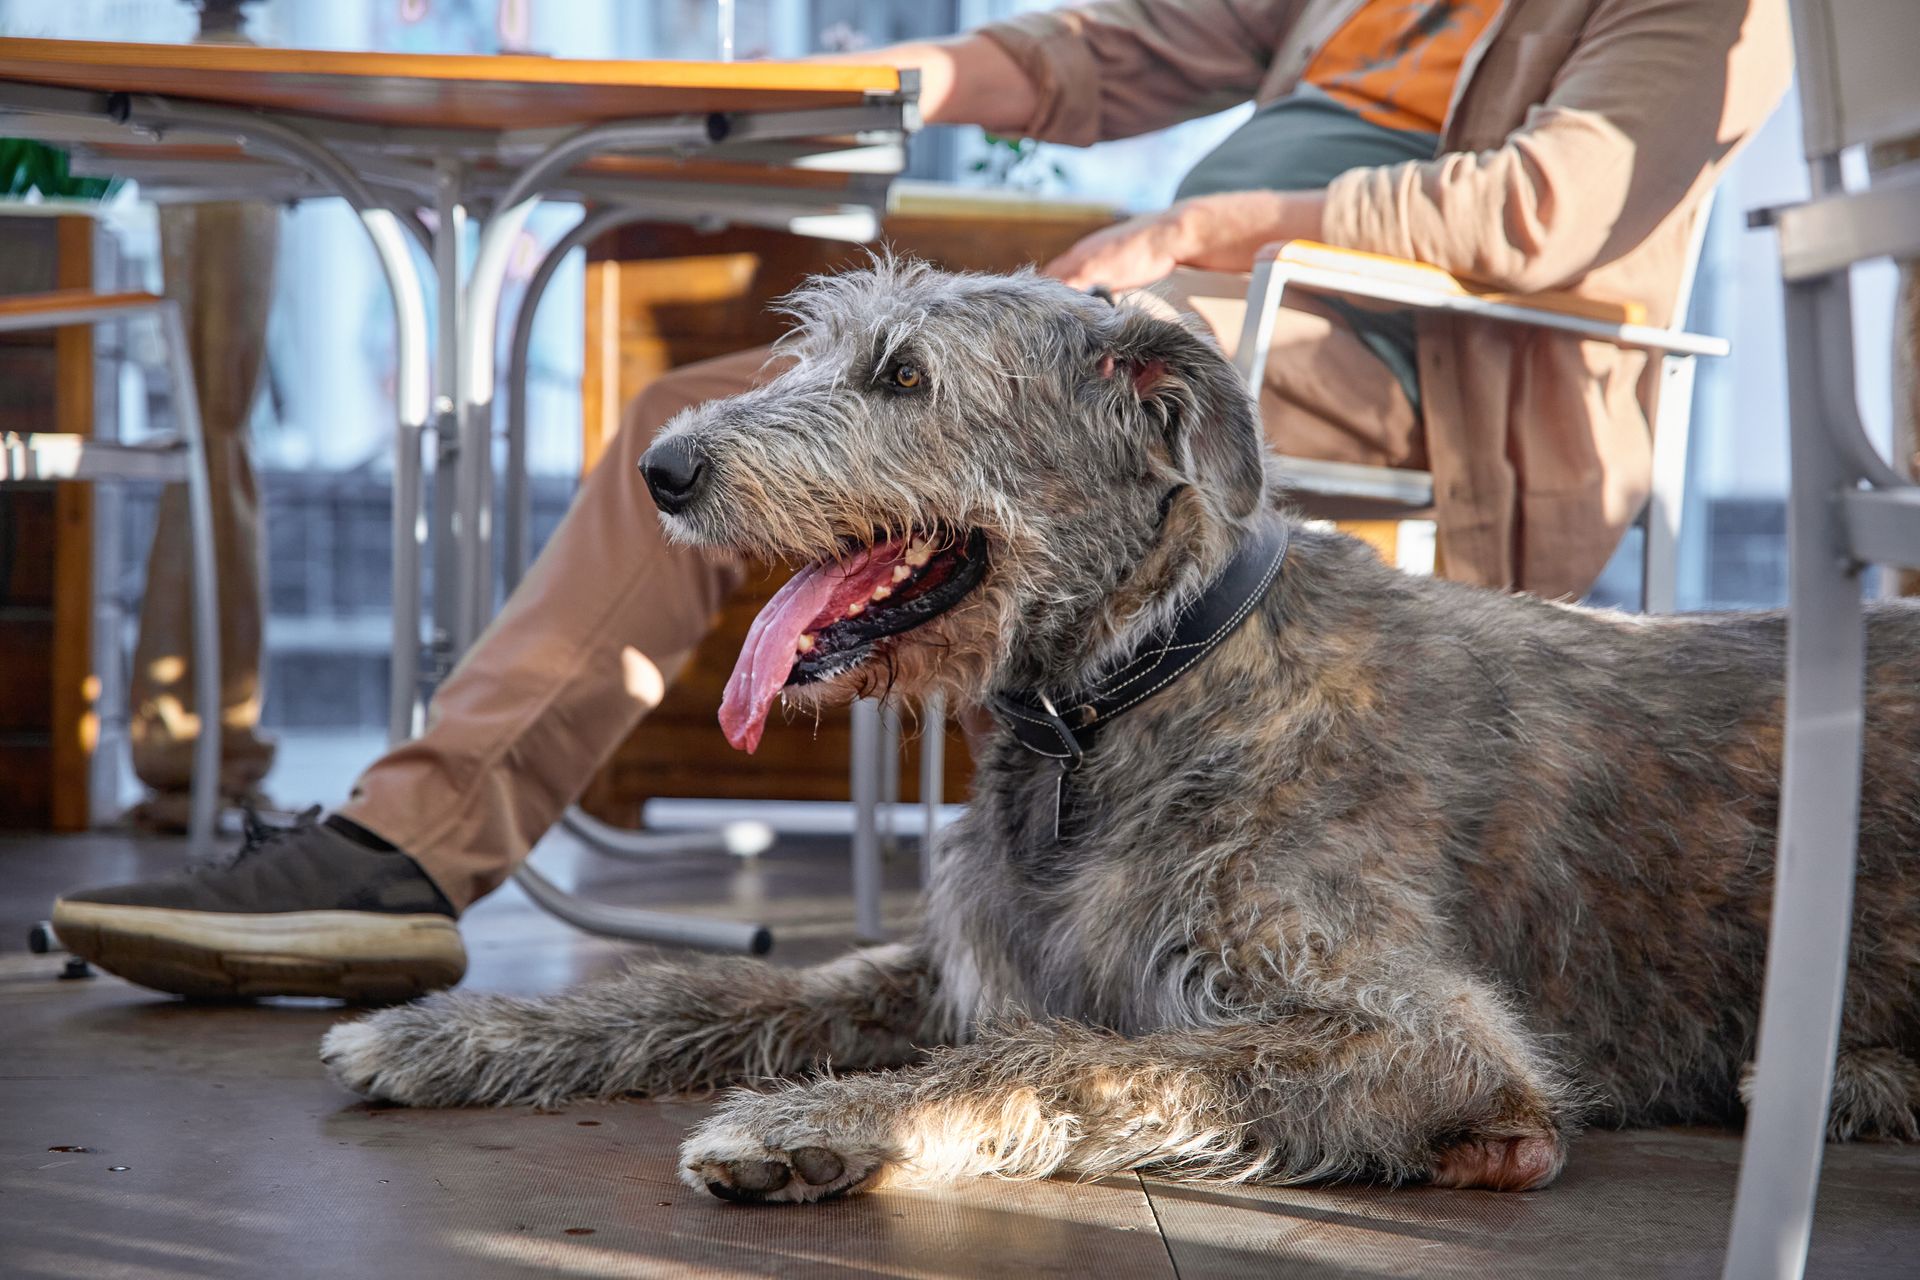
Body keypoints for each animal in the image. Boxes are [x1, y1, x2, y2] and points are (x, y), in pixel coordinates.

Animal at [322, 257, 1920, 1205]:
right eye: (823, 352)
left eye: (903, 377)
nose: (662, 468)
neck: (1122, 698)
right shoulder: (957, 963)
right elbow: (716, 988)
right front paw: (457, 1030)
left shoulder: (1420, 1035)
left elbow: (1072, 1056)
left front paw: (806, 1126)